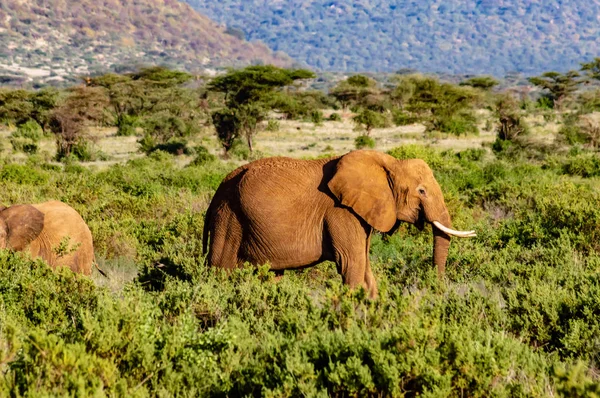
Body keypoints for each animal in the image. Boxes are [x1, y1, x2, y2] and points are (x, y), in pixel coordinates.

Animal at [204, 150, 476, 298]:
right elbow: (351, 263)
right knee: (221, 271)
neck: (389, 164)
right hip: (228, 219)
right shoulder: (340, 212)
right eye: (421, 191)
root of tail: (219, 188)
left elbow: (364, 265)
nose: (435, 290)